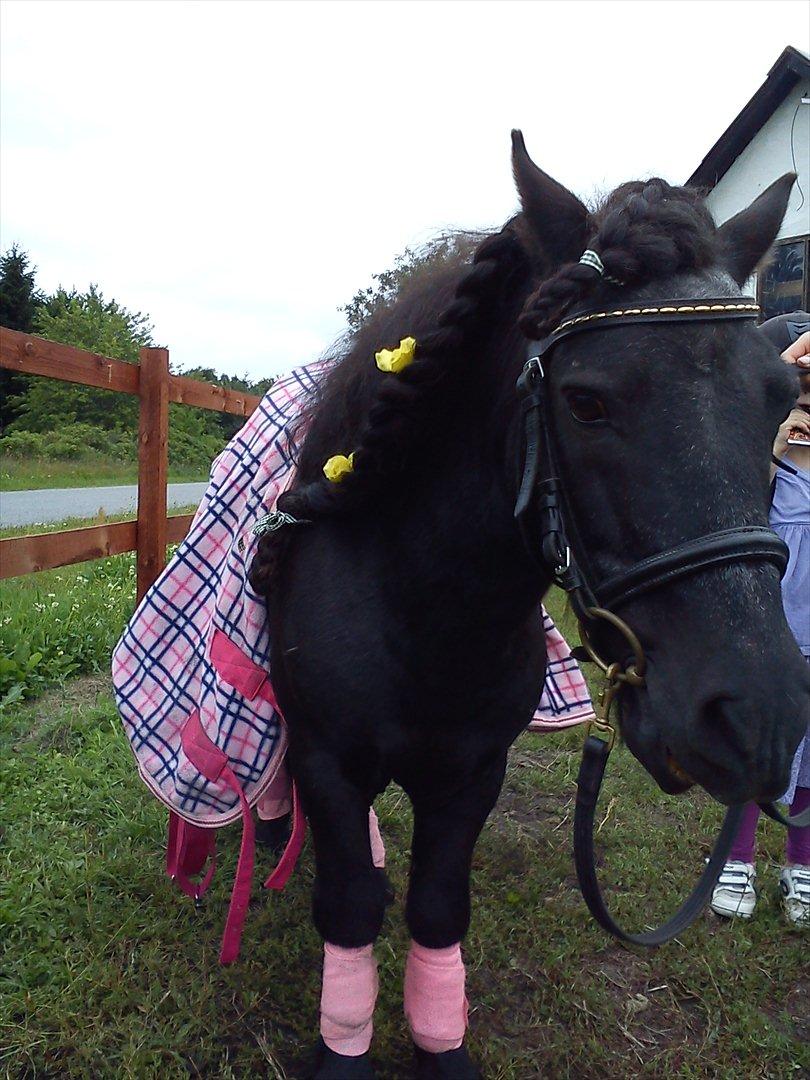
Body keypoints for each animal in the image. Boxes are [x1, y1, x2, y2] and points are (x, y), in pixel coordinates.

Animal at [250, 135, 807, 1080]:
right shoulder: (328, 762)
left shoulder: (474, 769)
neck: (420, 612)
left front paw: (441, 1045)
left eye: (777, 399)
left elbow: (438, 909)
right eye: (585, 401)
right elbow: (350, 909)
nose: (757, 717)